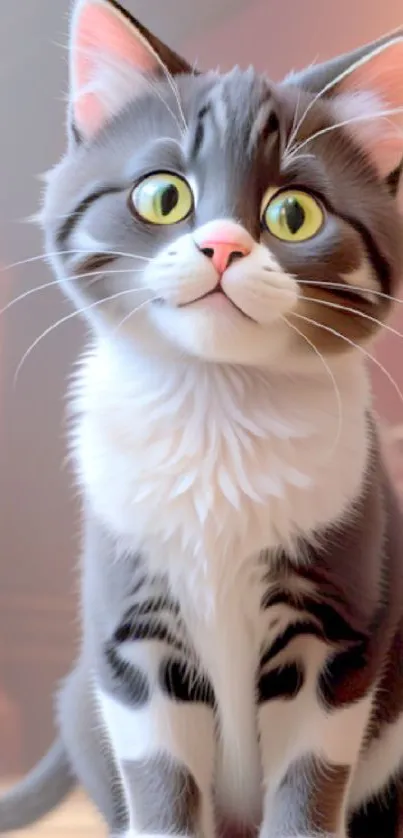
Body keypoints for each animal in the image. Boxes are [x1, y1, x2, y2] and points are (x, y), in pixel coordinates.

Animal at [0, 1, 403, 838]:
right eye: (163, 197)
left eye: (292, 213)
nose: (221, 245)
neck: (219, 412)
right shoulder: (133, 627)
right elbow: (159, 779)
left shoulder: (339, 621)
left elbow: (311, 778)